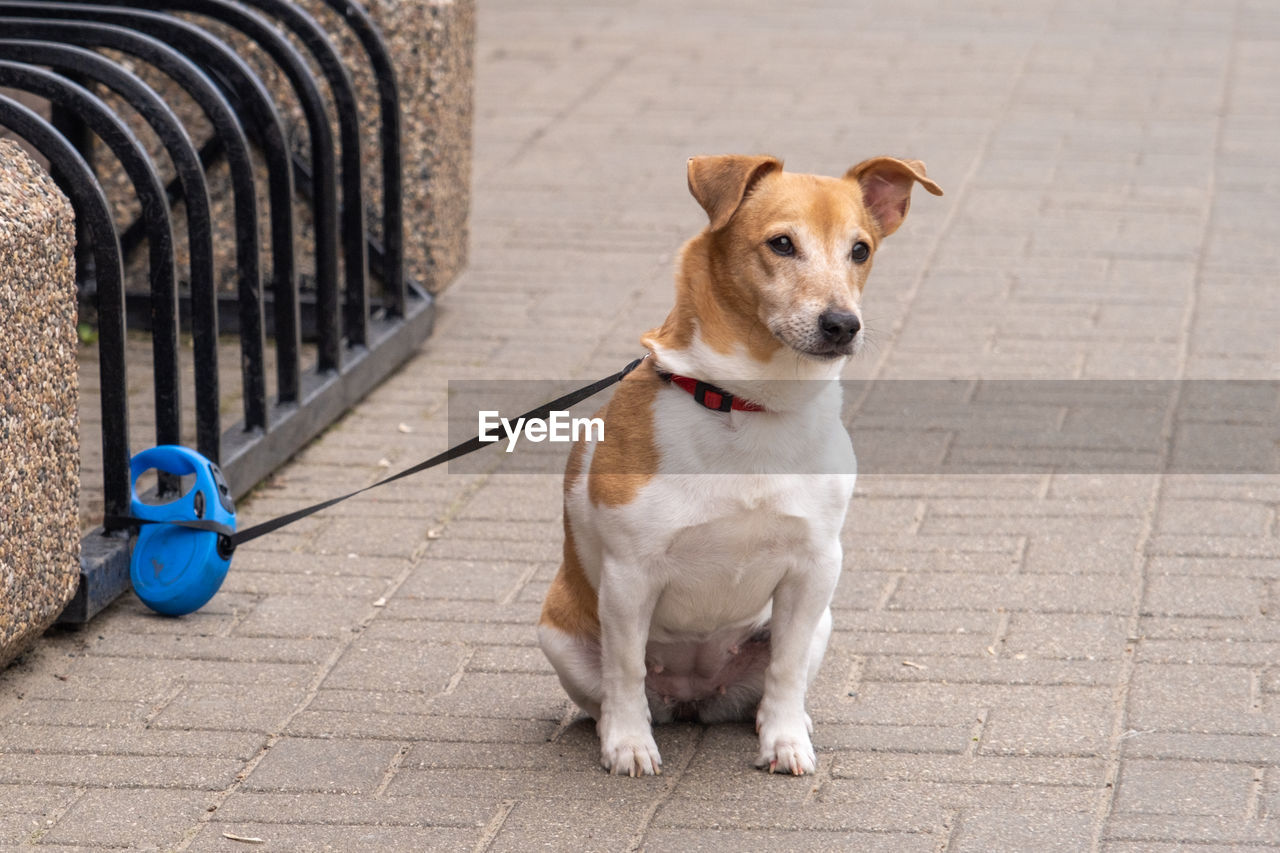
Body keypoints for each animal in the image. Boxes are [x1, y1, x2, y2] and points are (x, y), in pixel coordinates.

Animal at [532, 151, 942, 768]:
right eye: (781, 244)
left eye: (861, 250)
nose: (842, 325)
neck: (749, 405)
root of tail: (693, 695)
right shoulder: (629, 577)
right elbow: (625, 671)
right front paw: (628, 743)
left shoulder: (815, 569)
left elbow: (786, 669)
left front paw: (786, 739)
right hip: (560, 635)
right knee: (612, 686)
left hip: (819, 622)